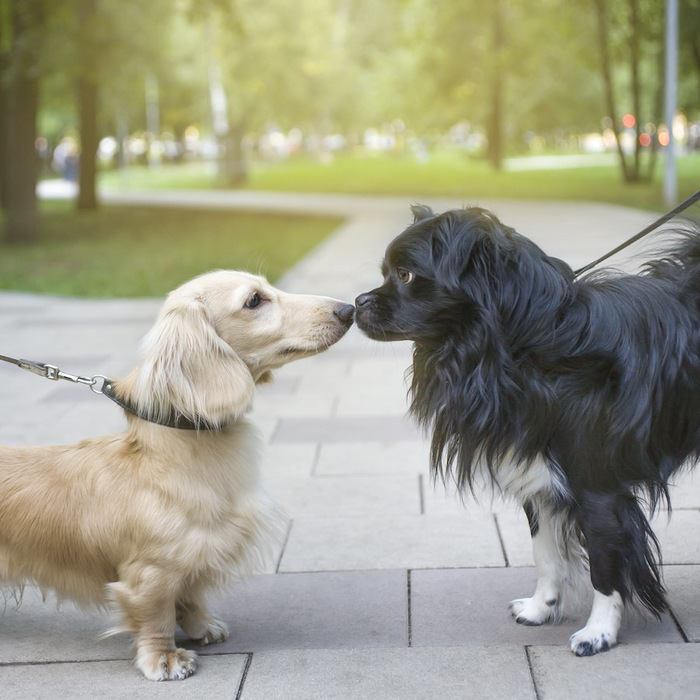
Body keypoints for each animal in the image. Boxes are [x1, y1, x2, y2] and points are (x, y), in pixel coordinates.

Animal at [0, 270, 352, 680]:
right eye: (254, 300)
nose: (348, 309)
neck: (171, 458)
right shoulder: (150, 573)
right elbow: (156, 616)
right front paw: (164, 658)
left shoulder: (195, 555)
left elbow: (191, 596)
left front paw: (203, 627)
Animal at [356, 204, 700, 656]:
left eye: (406, 275)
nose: (357, 302)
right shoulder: (537, 477)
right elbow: (545, 552)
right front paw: (541, 608)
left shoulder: (599, 491)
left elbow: (605, 566)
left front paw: (598, 633)